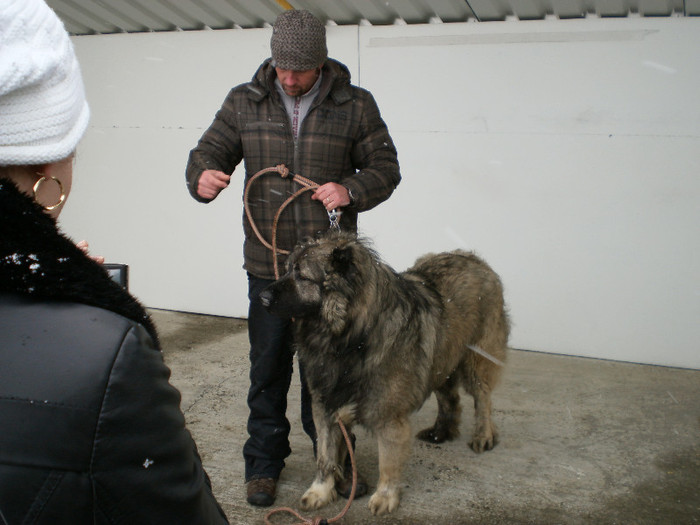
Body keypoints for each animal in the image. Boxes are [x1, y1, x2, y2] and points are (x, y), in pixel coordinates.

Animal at [260, 231, 512, 512]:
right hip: (440, 359)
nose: (261, 296)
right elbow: (325, 455)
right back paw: (440, 431)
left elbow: (388, 461)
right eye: (287, 270)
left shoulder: (389, 416)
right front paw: (320, 490)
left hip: (476, 359)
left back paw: (483, 435)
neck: (350, 337)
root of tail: (475, 259)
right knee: (451, 398)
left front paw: (385, 496)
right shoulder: (325, 406)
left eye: (302, 276)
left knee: (482, 398)